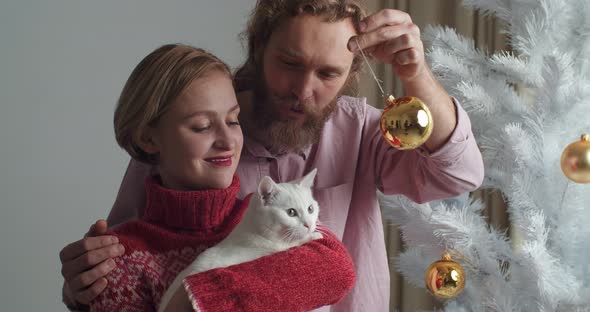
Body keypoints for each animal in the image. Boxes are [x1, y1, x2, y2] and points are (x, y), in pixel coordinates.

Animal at [157, 168, 324, 312]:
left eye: (311, 209)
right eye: (291, 212)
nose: (309, 225)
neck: (260, 232)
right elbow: (292, 244)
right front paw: (314, 236)